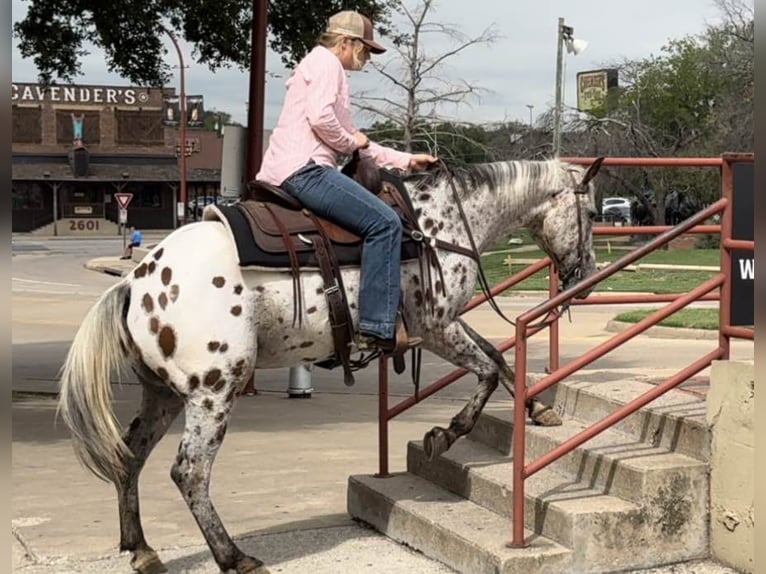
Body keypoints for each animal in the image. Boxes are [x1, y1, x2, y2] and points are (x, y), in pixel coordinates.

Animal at [58, 157, 603, 574]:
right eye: (595, 212)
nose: (588, 278)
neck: (439, 224)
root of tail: (135, 282)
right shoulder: (435, 327)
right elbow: (488, 368)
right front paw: (444, 434)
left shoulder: (446, 325)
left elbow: (499, 359)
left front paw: (538, 412)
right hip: (212, 391)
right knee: (189, 471)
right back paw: (233, 557)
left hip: (164, 392)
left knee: (129, 456)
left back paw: (142, 549)